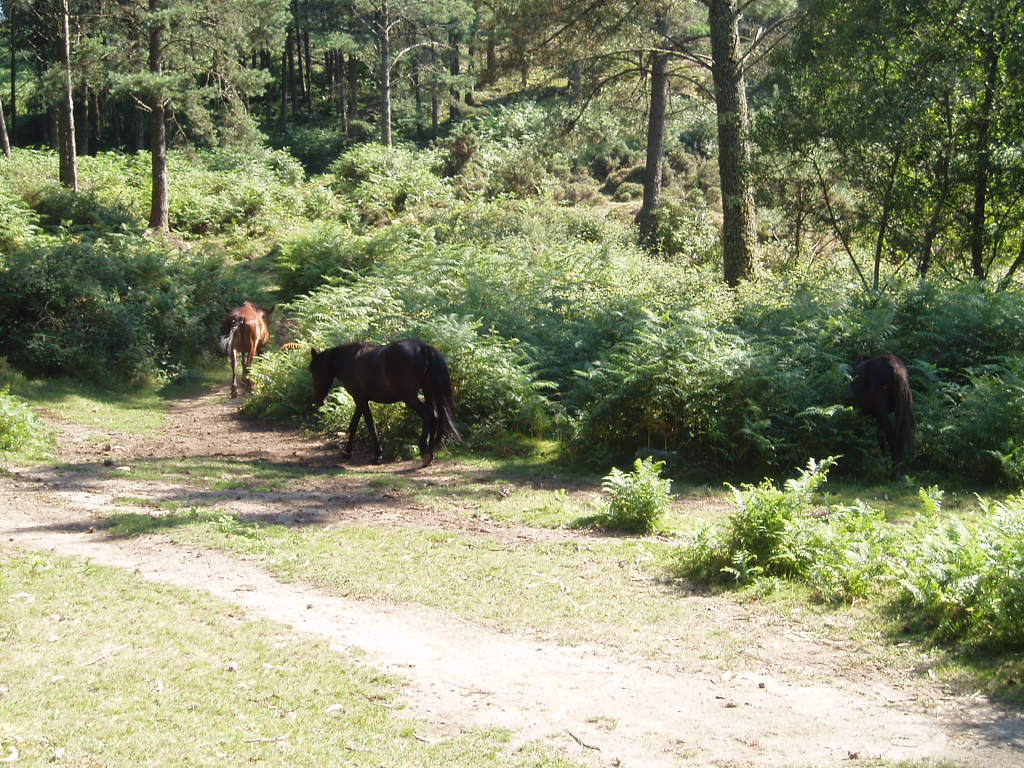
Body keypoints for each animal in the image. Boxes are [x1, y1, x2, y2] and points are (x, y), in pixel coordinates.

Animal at [307, 337, 460, 468]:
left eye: (315, 371)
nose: (319, 401)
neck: (350, 360)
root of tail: (423, 348)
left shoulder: (360, 400)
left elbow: (370, 425)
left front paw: (377, 456)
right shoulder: (361, 400)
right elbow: (354, 424)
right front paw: (347, 452)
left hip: (410, 398)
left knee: (429, 415)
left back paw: (424, 451)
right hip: (428, 393)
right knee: (434, 416)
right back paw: (430, 454)